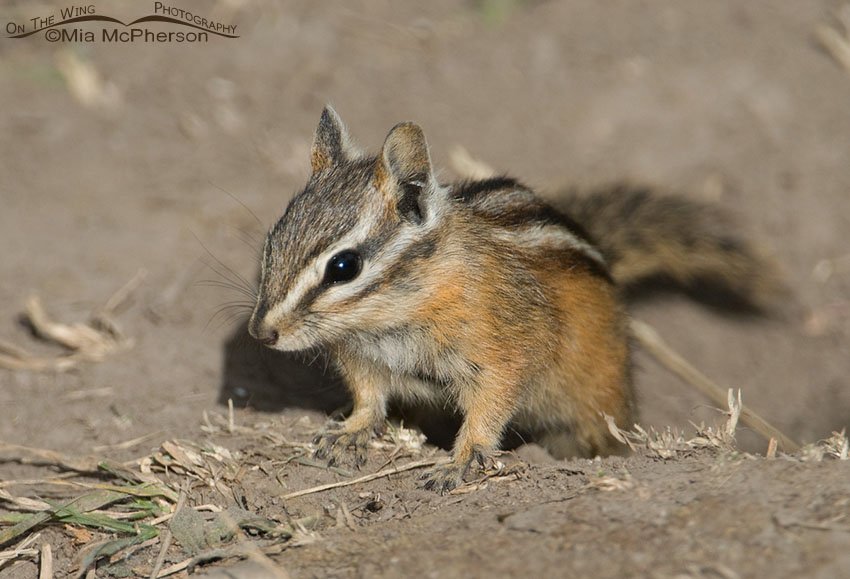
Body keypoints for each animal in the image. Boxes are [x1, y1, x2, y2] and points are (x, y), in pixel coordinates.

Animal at [248, 106, 779, 492]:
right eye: (271, 240)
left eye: (344, 267)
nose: (261, 332)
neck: (397, 313)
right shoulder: (363, 356)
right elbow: (368, 397)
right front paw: (351, 432)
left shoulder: (505, 351)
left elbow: (490, 405)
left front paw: (460, 462)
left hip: (598, 403)